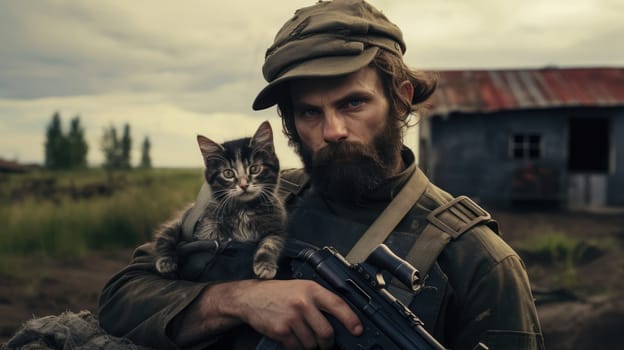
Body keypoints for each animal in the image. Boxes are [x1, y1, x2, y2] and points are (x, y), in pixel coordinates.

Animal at [155, 121, 286, 280]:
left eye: (254, 169)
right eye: (228, 173)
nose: (243, 185)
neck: (243, 209)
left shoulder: (276, 223)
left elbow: (271, 243)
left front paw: (266, 265)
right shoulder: (206, 228)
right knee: (164, 235)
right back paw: (165, 261)